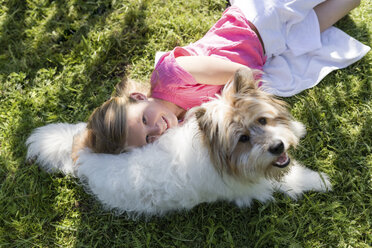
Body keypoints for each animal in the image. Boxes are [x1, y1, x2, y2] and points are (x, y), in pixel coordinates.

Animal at [26, 68, 332, 217]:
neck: (213, 151)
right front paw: (321, 181)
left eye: (263, 120)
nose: (277, 148)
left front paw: (296, 129)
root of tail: (85, 154)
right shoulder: (256, 183)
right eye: (242, 139)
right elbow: (294, 178)